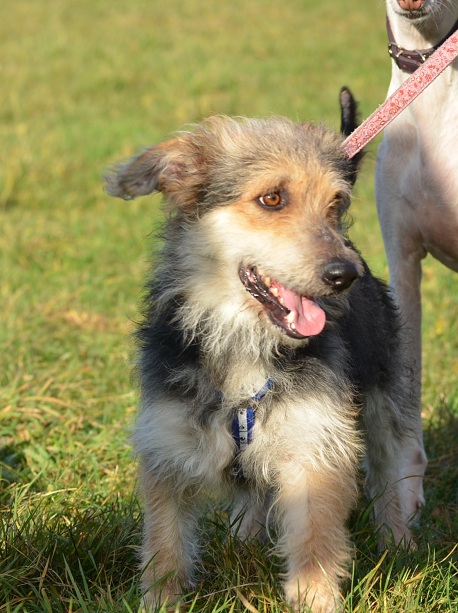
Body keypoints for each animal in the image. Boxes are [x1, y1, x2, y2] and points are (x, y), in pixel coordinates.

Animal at [106, 90, 419, 613]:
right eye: (272, 198)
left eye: (335, 203)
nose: (345, 275)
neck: (242, 342)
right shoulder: (166, 446)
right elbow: (164, 543)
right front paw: (160, 599)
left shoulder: (316, 445)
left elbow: (314, 542)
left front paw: (316, 601)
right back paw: (243, 540)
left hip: (384, 401)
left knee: (392, 472)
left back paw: (399, 542)